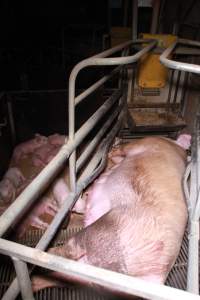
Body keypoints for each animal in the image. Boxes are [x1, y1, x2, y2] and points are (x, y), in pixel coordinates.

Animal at [31, 134, 191, 292]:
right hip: (90, 278)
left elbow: (120, 150)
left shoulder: (144, 143)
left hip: (100, 233)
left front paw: (110, 150)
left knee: (66, 251)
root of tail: (156, 276)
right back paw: (33, 282)